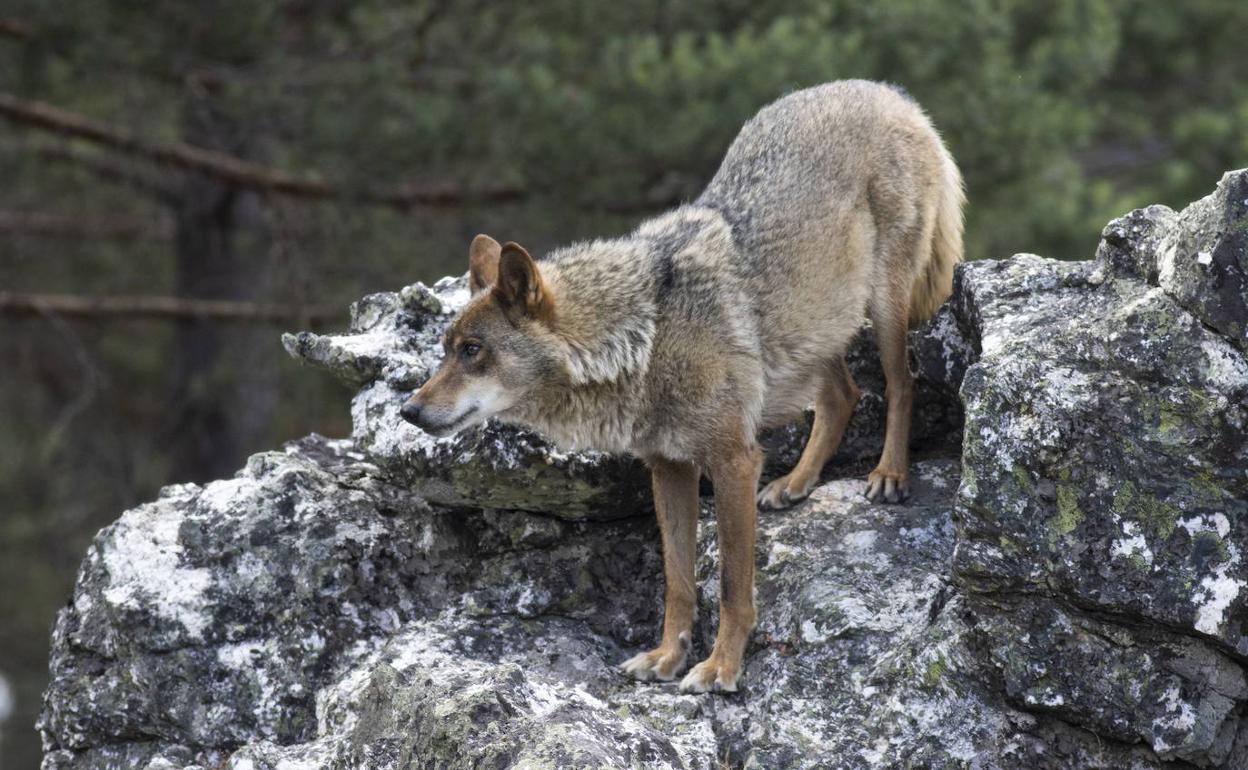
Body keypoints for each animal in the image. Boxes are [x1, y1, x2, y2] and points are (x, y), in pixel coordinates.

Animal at [399, 81, 963, 693]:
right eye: (444, 349)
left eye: (472, 351)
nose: (407, 410)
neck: (644, 336)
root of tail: (890, 94)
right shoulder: (669, 467)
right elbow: (677, 581)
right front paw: (667, 657)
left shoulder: (734, 460)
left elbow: (733, 586)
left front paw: (720, 667)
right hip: (811, 333)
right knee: (843, 396)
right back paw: (796, 483)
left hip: (884, 310)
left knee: (900, 385)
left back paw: (889, 474)